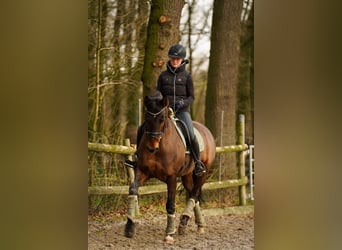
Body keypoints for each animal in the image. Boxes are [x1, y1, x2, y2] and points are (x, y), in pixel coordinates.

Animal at [125, 91, 216, 243]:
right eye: (147, 118)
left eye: (162, 119)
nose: (151, 147)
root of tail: (206, 130)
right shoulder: (142, 171)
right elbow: (133, 190)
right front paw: (129, 227)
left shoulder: (171, 177)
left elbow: (170, 204)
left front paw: (169, 233)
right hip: (186, 175)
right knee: (193, 194)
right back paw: (194, 224)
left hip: (203, 173)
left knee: (194, 194)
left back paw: (187, 222)